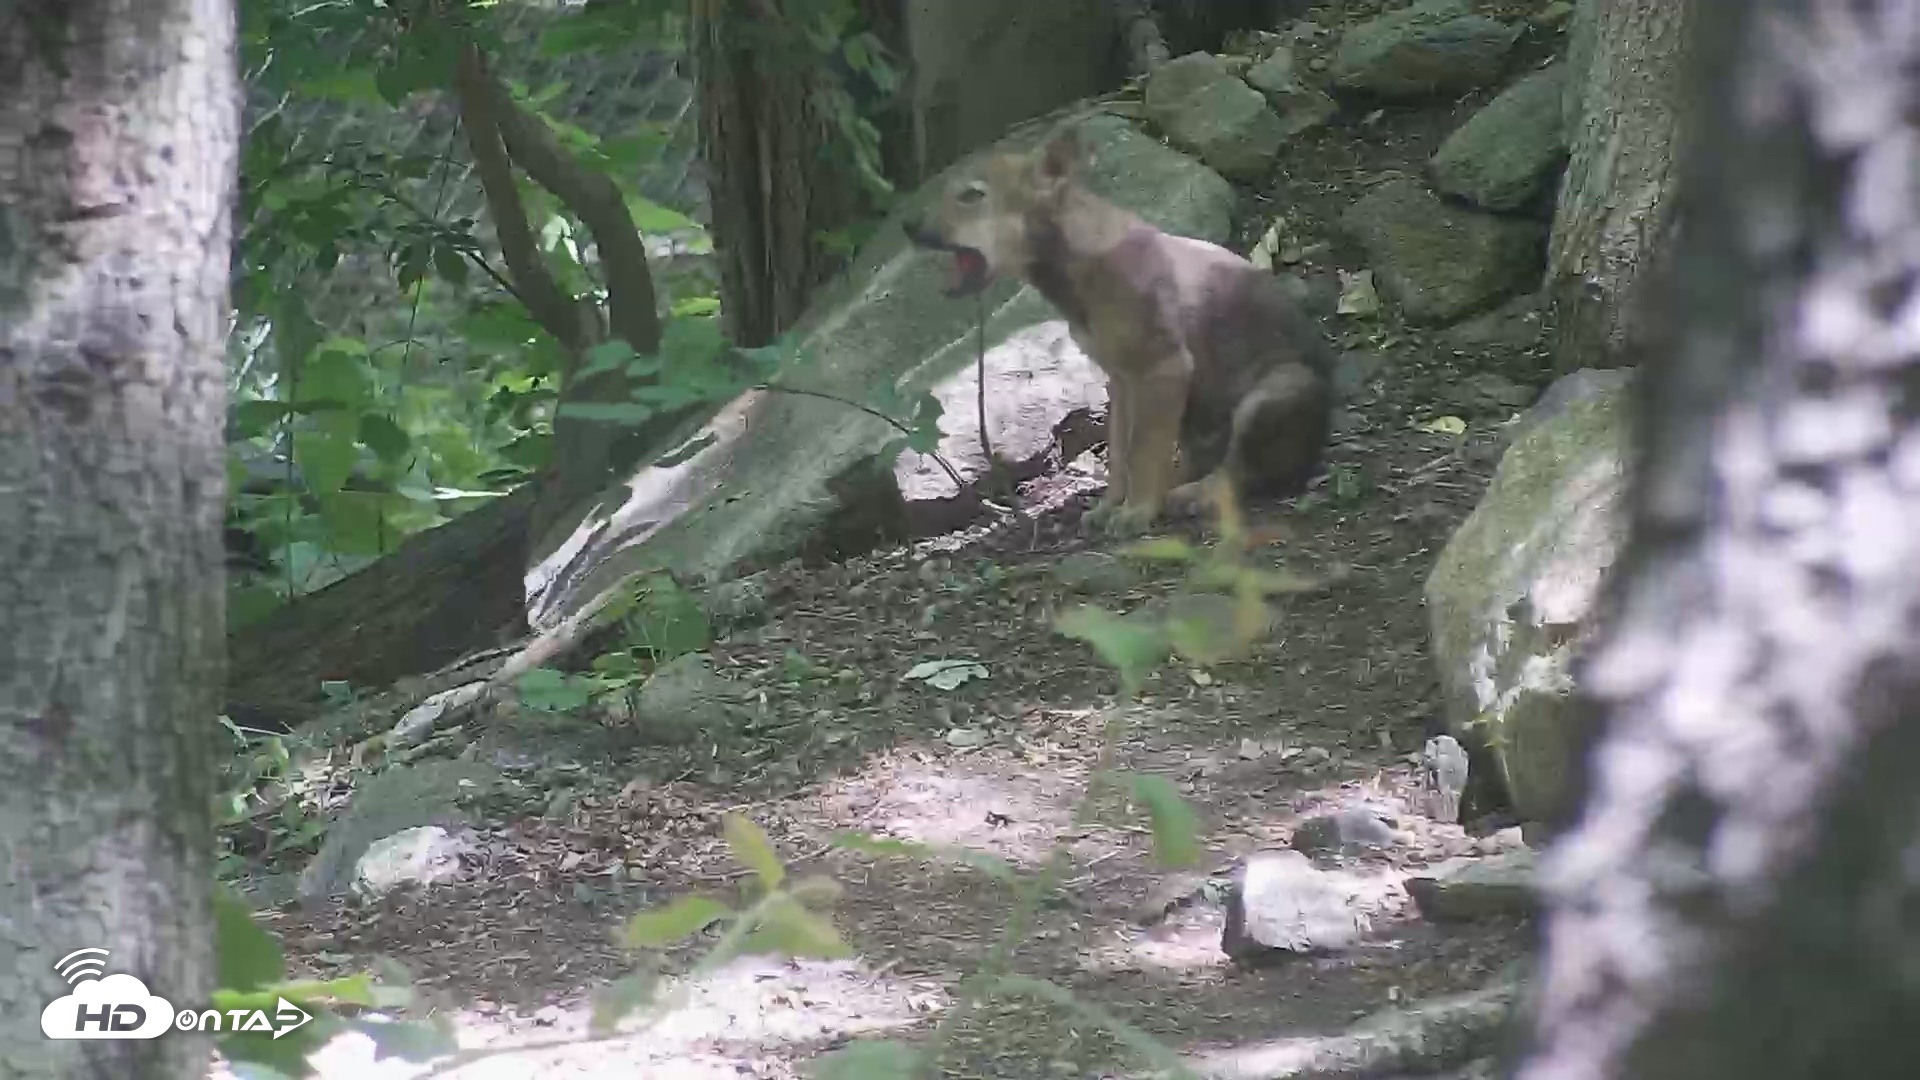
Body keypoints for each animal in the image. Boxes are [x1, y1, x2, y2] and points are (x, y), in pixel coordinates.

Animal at [902, 125, 1336, 535]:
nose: (907, 225)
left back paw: (1189, 495)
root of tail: (1317, 446)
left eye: (971, 195)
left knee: (1236, 473)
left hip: (1272, 392)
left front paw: (1136, 513)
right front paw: (1114, 506)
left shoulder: (1163, 368)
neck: (1079, 270)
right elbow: (1122, 454)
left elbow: (1142, 450)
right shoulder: (1123, 380)